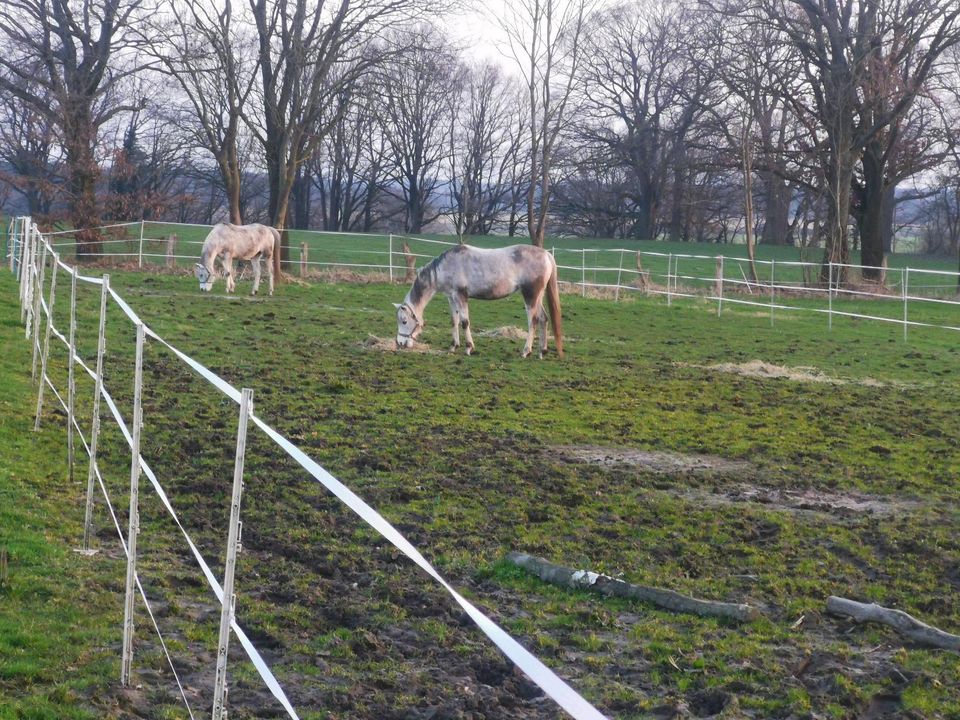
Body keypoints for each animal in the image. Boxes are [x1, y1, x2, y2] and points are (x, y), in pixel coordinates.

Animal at [396, 245, 564, 360]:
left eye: (404, 321)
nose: (400, 343)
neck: (447, 266)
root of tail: (546, 254)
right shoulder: (451, 297)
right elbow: (454, 321)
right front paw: (453, 346)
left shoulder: (461, 296)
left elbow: (464, 322)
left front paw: (468, 348)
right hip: (538, 297)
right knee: (543, 319)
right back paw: (542, 351)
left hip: (530, 296)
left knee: (533, 321)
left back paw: (526, 351)